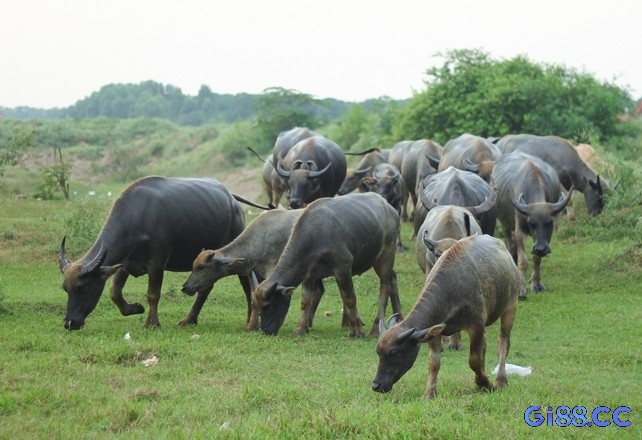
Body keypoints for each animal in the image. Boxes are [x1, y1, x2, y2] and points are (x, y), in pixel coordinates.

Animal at [58, 175, 250, 330]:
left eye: (81, 287)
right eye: (65, 289)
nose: (69, 323)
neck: (137, 217)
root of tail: (232, 199)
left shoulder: (157, 263)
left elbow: (152, 294)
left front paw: (152, 323)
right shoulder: (125, 263)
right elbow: (114, 292)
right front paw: (135, 308)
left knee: (246, 283)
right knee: (205, 287)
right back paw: (189, 319)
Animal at [250, 192, 400, 336]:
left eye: (268, 306)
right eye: (259, 306)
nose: (265, 330)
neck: (314, 235)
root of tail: (391, 209)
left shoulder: (343, 266)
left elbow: (350, 298)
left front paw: (357, 330)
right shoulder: (309, 275)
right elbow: (305, 301)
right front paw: (300, 329)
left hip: (387, 254)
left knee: (385, 285)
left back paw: (375, 327)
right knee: (393, 278)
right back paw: (398, 317)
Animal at [490, 151, 568, 296]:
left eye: (549, 222)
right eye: (531, 223)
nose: (541, 248)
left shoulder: (545, 239)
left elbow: (537, 259)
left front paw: (536, 284)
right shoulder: (520, 230)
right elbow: (523, 261)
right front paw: (521, 289)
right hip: (505, 224)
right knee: (510, 245)